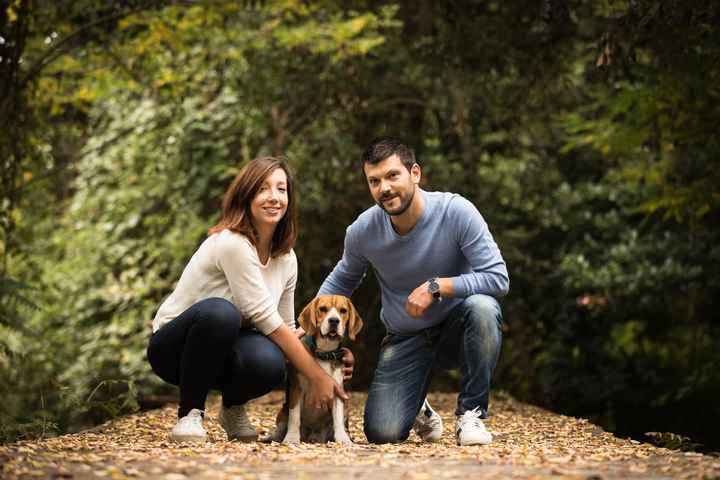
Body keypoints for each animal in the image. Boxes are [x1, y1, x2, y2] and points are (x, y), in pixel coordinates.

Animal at [280, 294, 360, 444]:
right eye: (322, 309)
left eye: (343, 311)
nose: (334, 320)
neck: (324, 352)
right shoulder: (296, 389)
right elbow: (294, 416)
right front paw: (291, 437)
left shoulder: (337, 390)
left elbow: (337, 418)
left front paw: (342, 438)